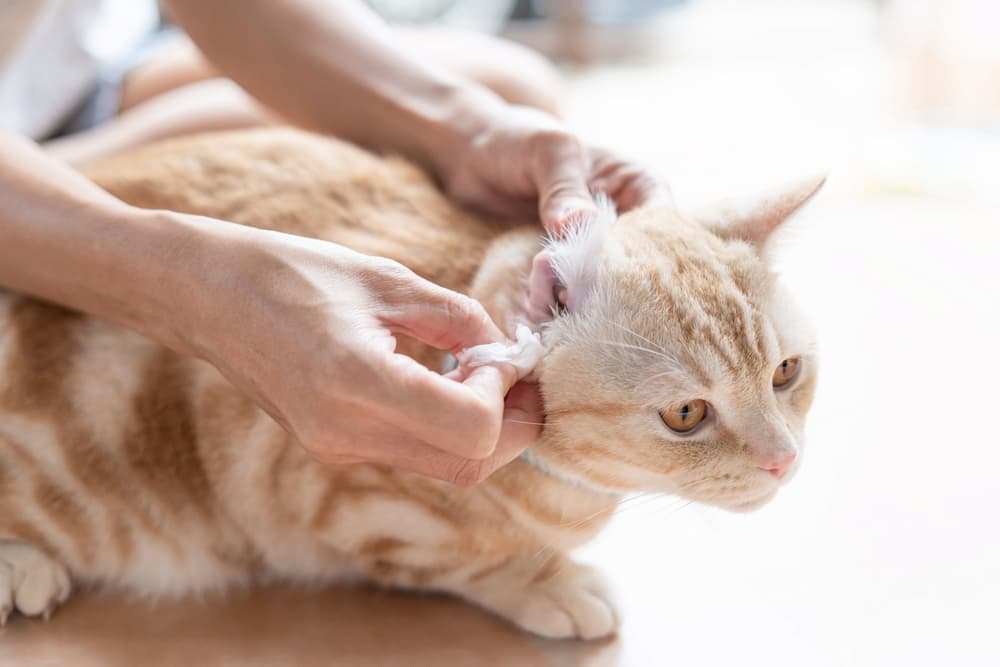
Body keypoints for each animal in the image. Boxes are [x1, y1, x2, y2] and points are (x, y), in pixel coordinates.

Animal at [0, 128, 820, 640]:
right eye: (685, 412)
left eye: (786, 372)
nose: (783, 460)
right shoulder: (325, 495)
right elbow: (460, 557)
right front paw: (550, 582)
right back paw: (23, 569)